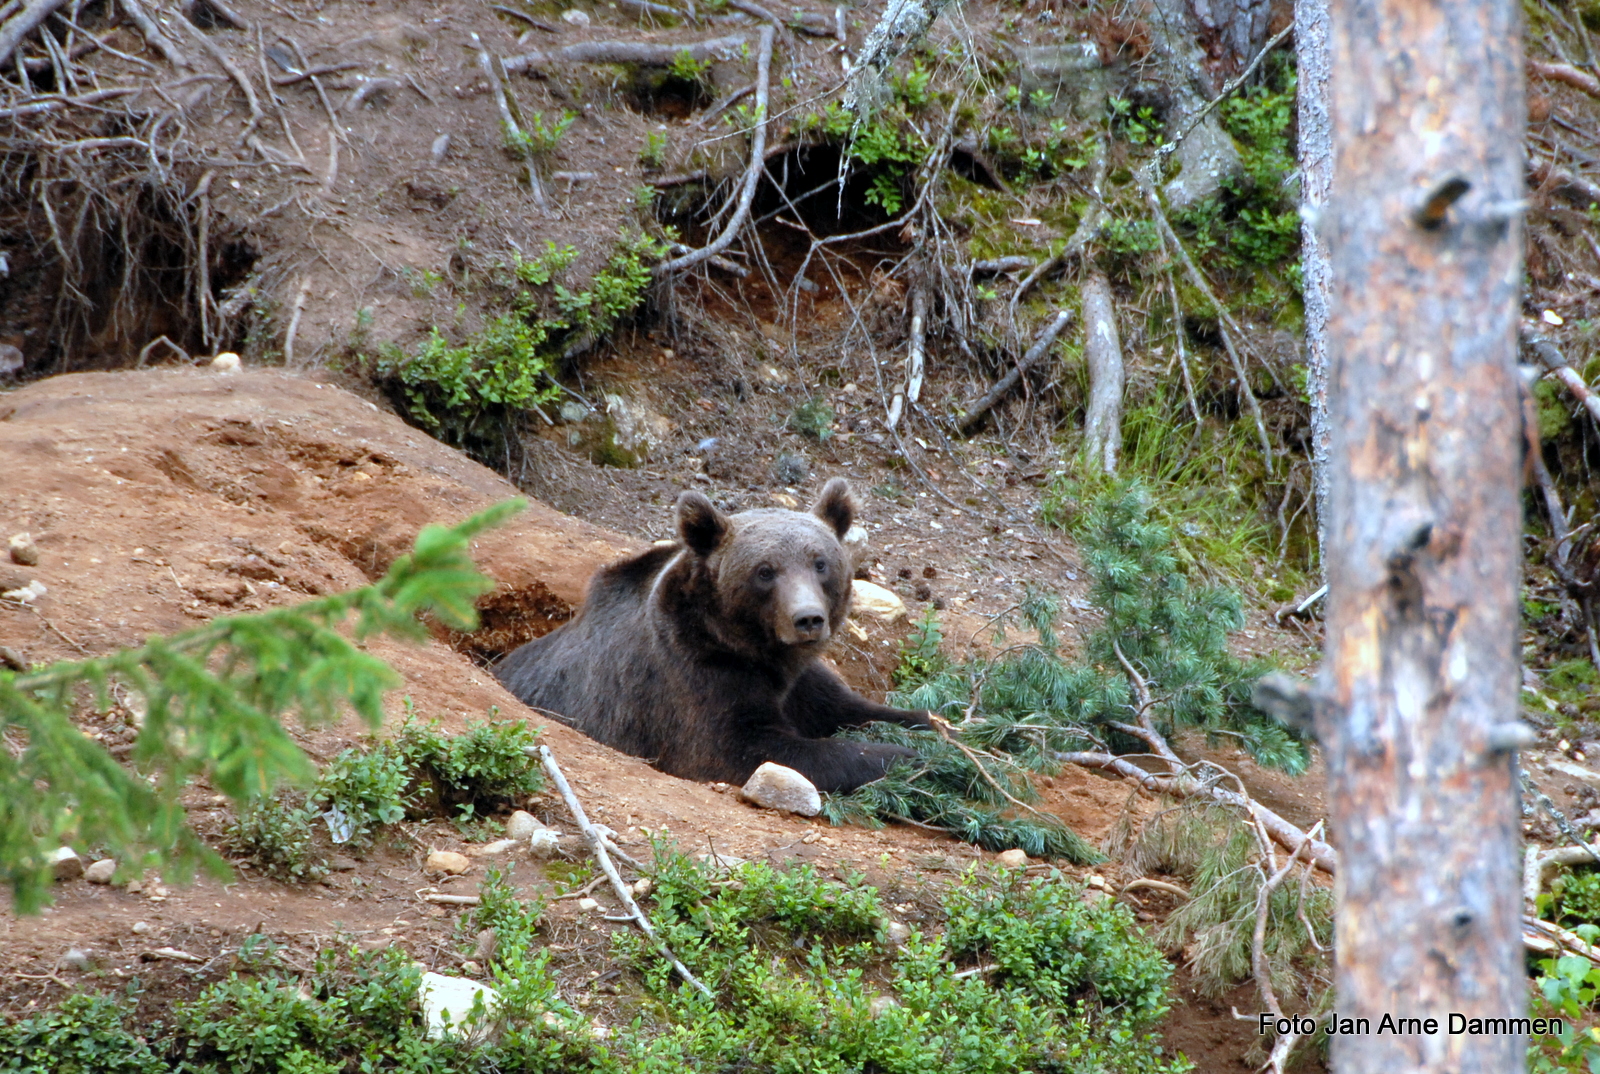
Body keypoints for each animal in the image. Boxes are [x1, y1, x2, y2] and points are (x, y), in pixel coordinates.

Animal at [492, 480, 934, 790]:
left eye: (820, 562)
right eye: (765, 571)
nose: (808, 619)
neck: (762, 653)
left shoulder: (802, 681)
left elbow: (852, 707)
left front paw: (934, 728)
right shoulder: (694, 678)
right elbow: (748, 749)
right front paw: (903, 757)